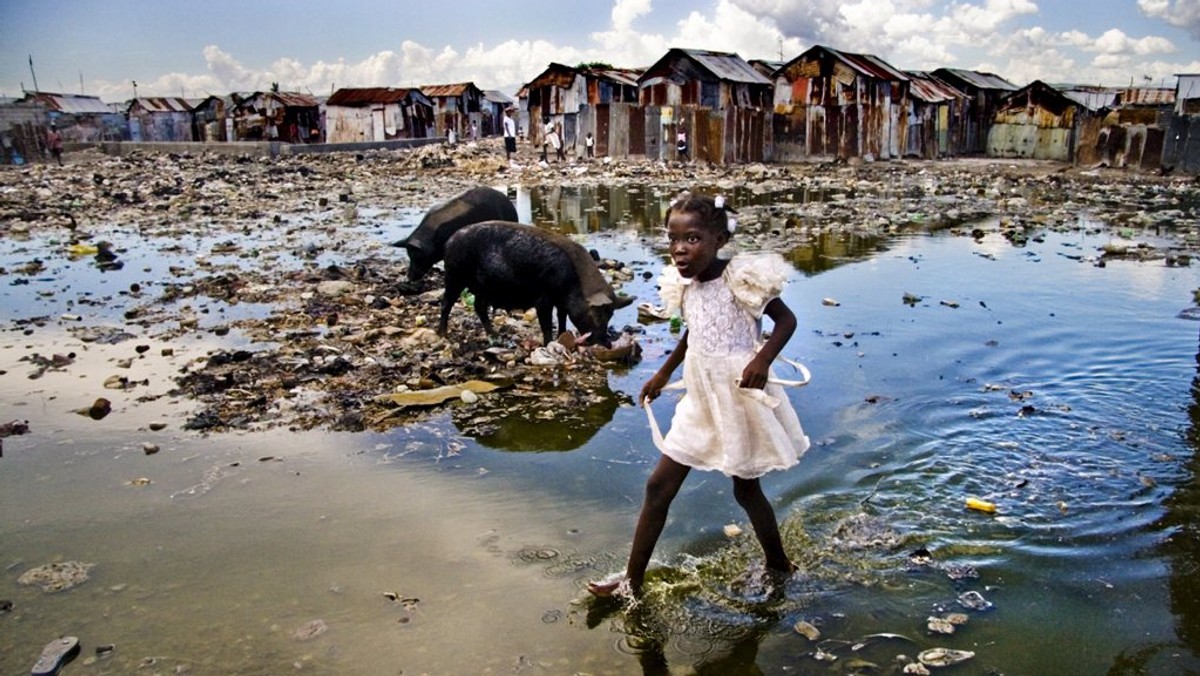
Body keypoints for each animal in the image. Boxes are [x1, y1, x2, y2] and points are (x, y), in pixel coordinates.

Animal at [436, 222, 633, 345]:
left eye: (610, 316)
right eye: (598, 314)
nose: (606, 343)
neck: (574, 281)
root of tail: (449, 241)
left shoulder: (561, 303)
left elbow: (561, 318)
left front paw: (562, 336)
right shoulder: (543, 299)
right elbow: (546, 324)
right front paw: (549, 343)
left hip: (481, 288)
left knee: (479, 307)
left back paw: (494, 334)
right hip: (454, 276)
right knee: (446, 303)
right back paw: (443, 335)